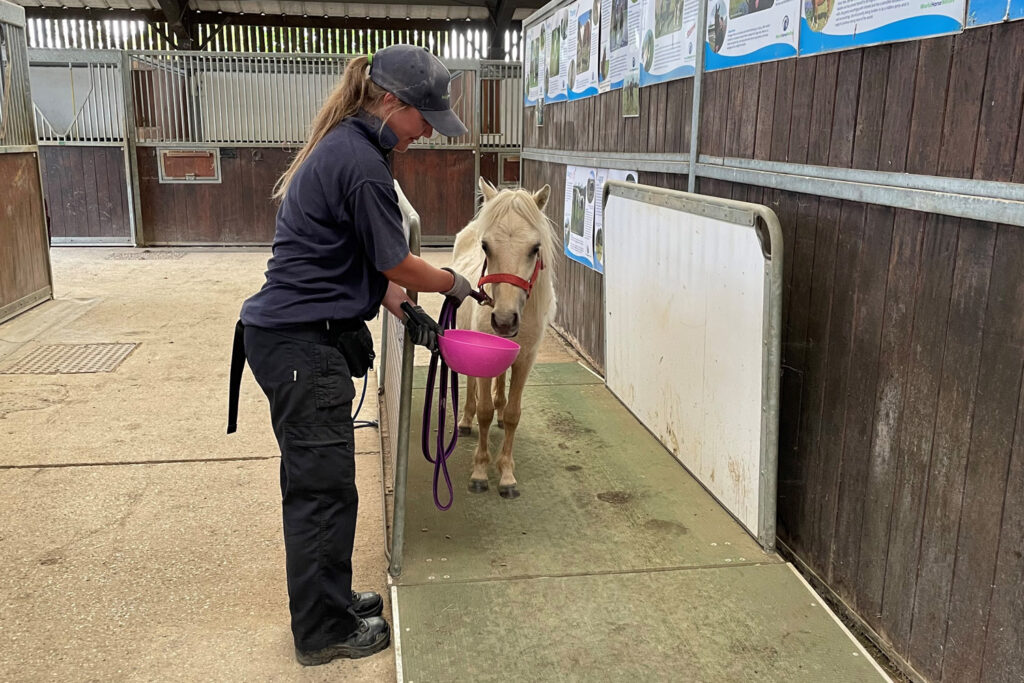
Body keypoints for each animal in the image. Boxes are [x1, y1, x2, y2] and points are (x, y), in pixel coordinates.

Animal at [452, 179, 557, 499]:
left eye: (535, 248)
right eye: (486, 246)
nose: (504, 320)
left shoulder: (525, 360)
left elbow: (512, 413)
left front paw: (507, 475)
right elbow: (484, 411)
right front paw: (480, 472)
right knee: (472, 387)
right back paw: (465, 420)